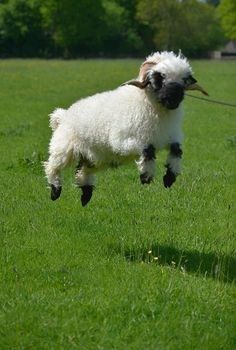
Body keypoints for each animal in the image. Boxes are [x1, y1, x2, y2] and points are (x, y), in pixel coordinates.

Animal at [43, 50, 207, 206]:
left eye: (184, 81)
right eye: (159, 78)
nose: (173, 100)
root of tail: (62, 116)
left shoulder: (170, 137)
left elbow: (176, 150)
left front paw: (169, 177)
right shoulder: (122, 142)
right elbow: (148, 150)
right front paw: (146, 176)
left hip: (96, 158)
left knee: (83, 171)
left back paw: (86, 196)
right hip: (63, 149)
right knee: (52, 167)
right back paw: (55, 191)